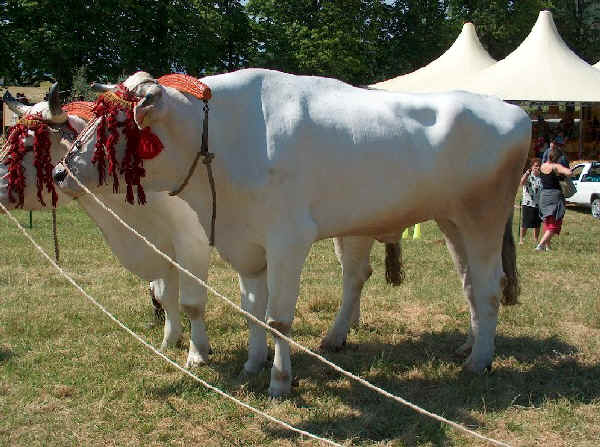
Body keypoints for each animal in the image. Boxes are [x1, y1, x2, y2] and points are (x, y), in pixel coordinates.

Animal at [58, 68, 528, 398]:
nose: (62, 172)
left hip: (483, 217)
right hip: (452, 222)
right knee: (469, 284)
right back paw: (467, 347)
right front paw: (251, 365)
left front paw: (279, 381)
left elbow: (278, 318)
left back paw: (480, 362)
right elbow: (252, 310)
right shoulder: (246, 243)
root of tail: (515, 111)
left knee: (489, 286)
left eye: (116, 124)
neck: (223, 137)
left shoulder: (288, 240)